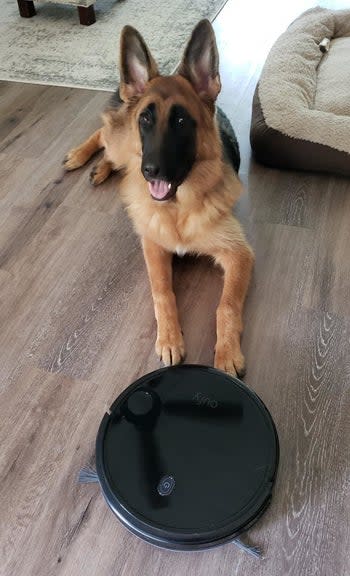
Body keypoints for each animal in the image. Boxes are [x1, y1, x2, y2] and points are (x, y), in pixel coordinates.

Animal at [64, 19, 253, 378]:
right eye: (145, 119)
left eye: (180, 121)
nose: (150, 171)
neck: (178, 209)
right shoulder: (153, 247)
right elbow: (162, 292)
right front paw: (169, 339)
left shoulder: (239, 254)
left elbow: (226, 305)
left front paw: (226, 352)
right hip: (123, 145)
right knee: (106, 136)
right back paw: (81, 156)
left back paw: (100, 167)